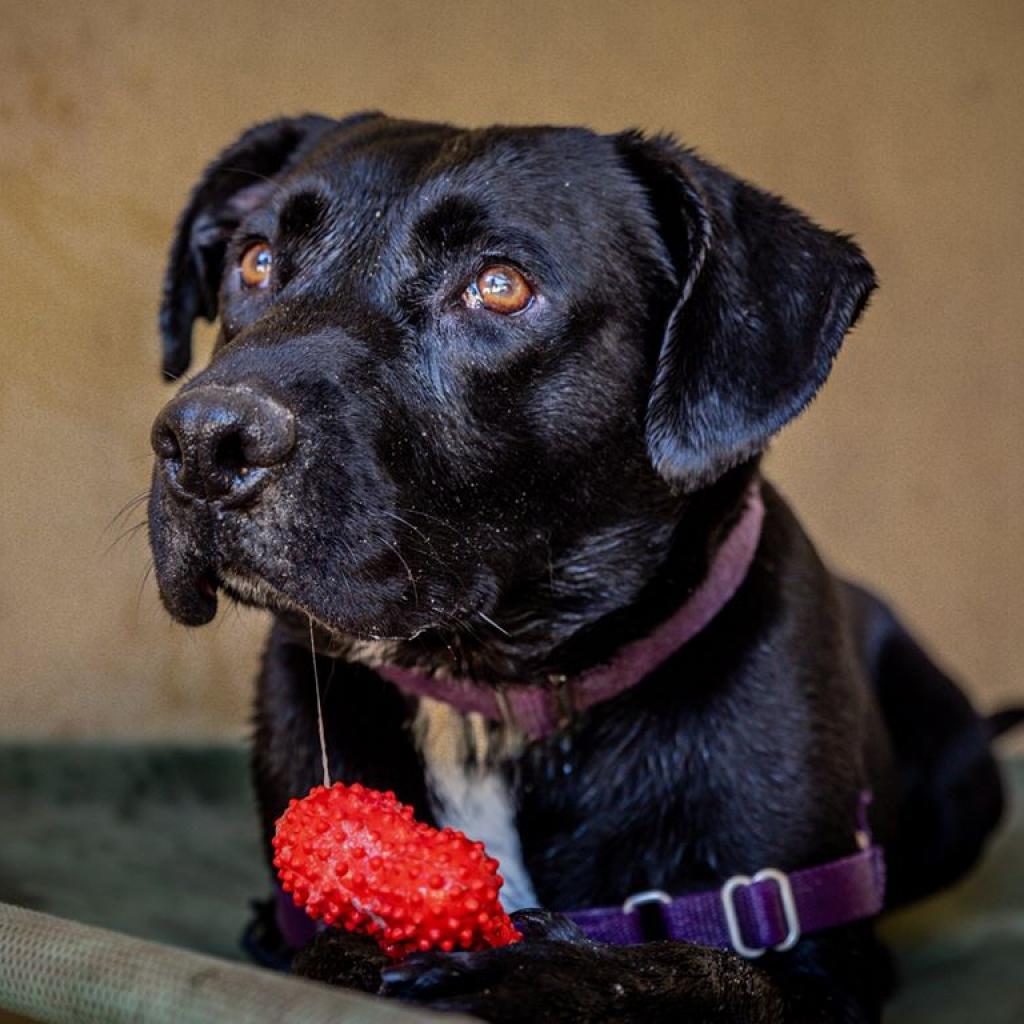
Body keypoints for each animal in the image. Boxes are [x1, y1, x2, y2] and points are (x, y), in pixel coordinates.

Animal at [149, 114, 1007, 1024]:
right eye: (255, 261)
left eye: (498, 286)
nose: (203, 442)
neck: (490, 693)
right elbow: (325, 956)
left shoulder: (818, 965)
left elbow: (705, 974)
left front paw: (540, 973)